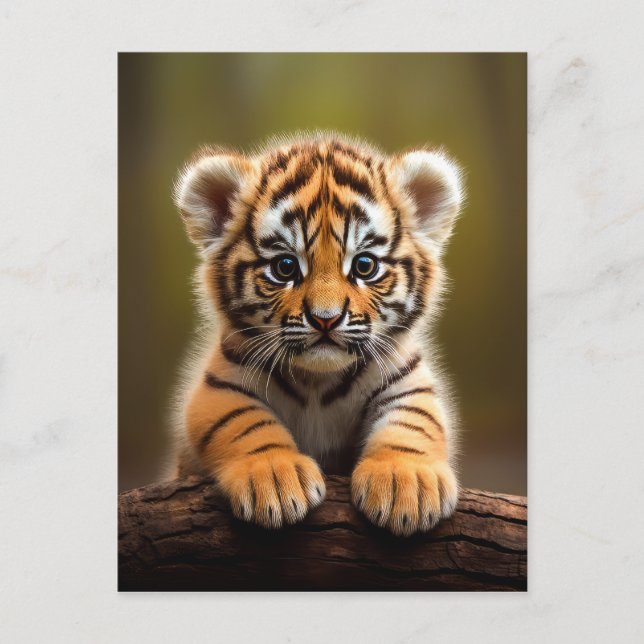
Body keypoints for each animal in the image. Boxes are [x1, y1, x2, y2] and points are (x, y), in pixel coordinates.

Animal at [171, 132, 463, 536]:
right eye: (285, 267)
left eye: (365, 265)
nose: (326, 319)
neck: (317, 382)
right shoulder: (217, 385)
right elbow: (241, 420)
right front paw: (274, 476)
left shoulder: (408, 377)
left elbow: (414, 419)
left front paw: (407, 481)